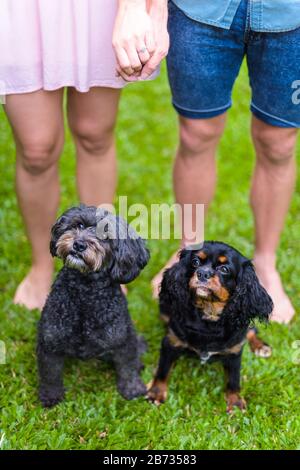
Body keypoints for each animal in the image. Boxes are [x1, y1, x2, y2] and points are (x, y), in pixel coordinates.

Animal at [37, 206, 150, 408]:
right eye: (79, 225)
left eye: (105, 236)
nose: (79, 244)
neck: (85, 293)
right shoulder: (49, 341)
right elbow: (50, 374)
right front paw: (51, 396)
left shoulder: (124, 338)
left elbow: (127, 367)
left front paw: (132, 389)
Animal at [146, 241, 274, 414]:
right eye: (195, 262)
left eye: (224, 269)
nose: (202, 273)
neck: (208, 314)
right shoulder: (170, 342)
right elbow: (163, 370)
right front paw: (156, 393)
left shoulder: (234, 352)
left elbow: (233, 380)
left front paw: (235, 402)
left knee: (251, 331)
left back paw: (260, 346)